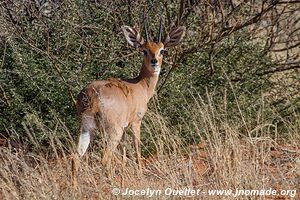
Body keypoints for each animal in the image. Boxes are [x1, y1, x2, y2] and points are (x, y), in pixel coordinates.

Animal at [75, 19, 185, 171]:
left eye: (162, 50)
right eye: (145, 50)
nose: (154, 62)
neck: (141, 85)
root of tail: (92, 95)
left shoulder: (125, 128)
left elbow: (124, 154)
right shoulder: (136, 122)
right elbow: (137, 149)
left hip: (86, 128)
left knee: (75, 157)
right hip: (114, 131)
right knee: (105, 160)